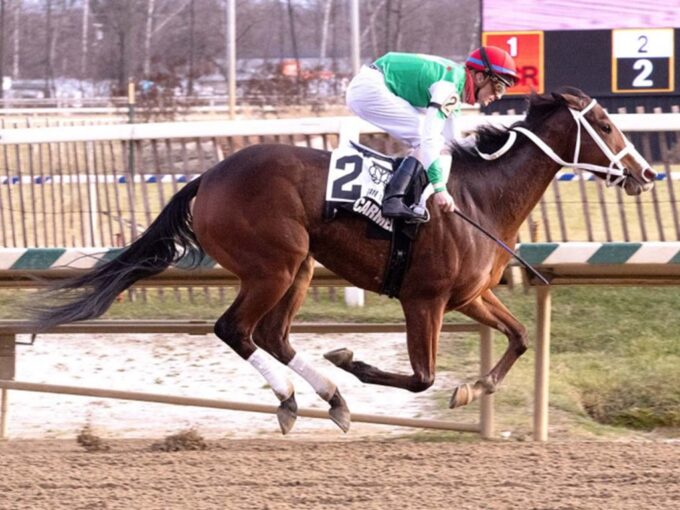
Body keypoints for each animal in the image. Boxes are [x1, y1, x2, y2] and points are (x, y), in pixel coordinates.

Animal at [34, 87, 656, 434]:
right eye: (604, 125)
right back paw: (294, 396)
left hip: (302, 267)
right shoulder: (423, 300)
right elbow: (421, 378)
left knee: (273, 335)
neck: (477, 198)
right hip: (274, 264)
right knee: (235, 329)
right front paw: (353, 361)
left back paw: (327, 397)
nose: (646, 173)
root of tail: (206, 177)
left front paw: (472, 389)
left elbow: (521, 336)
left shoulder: (470, 296)